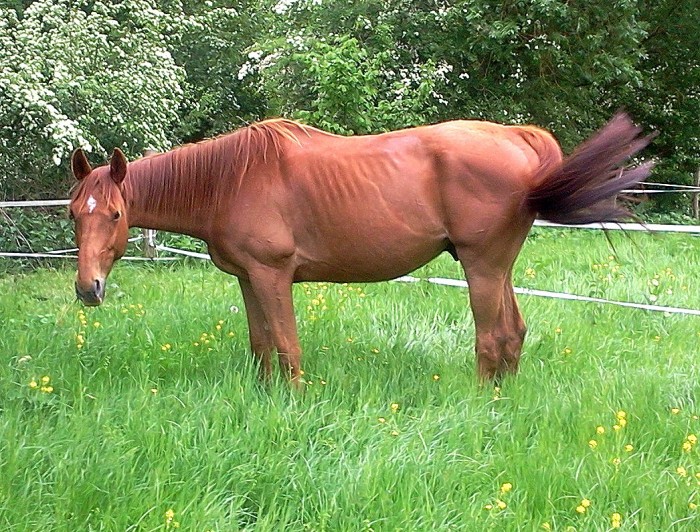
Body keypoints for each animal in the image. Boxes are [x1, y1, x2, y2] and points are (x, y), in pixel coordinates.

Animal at [68, 114, 652, 384]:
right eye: (74, 213)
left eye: (115, 215)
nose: (88, 289)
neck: (229, 181)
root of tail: (516, 137)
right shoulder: (248, 279)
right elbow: (261, 348)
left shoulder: (273, 275)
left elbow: (287, 348)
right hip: (496, 266)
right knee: (514, 334)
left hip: (483, 267)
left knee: (493, 338)